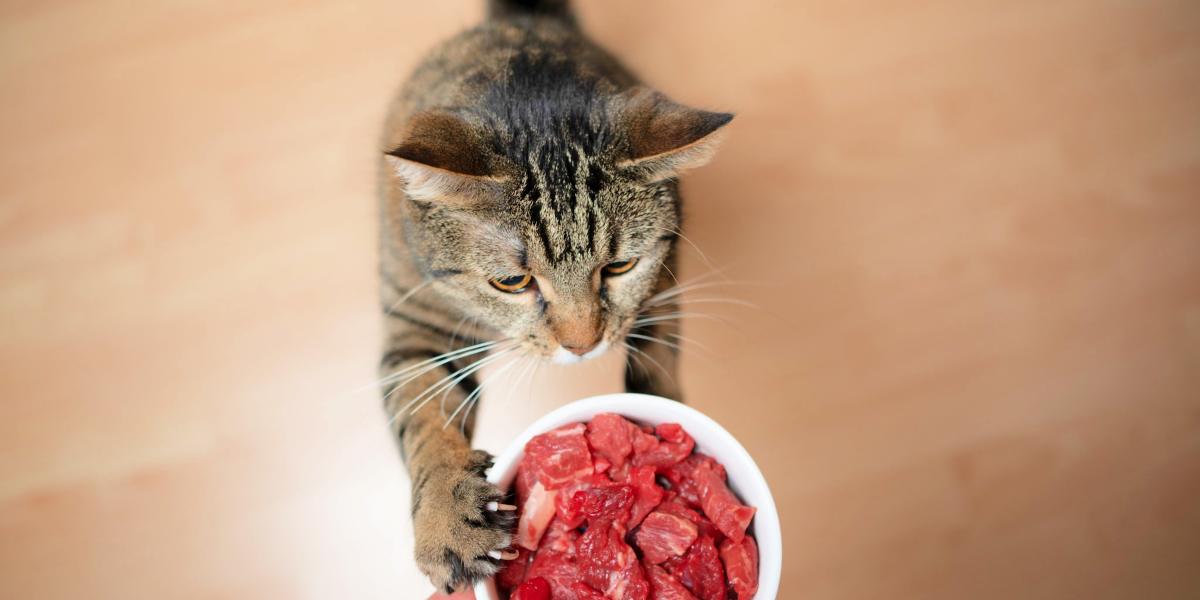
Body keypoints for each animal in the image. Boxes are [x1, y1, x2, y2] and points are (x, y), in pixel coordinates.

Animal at [374, 0, 729, 590]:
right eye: (511, 282)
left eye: (619, 266)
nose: (582, 345)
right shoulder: (415, 323)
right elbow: (422, 417)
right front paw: (449, 517)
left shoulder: (662, 284)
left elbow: (657, 363)